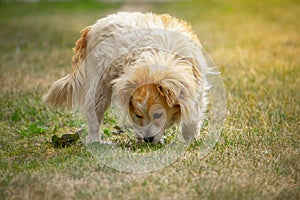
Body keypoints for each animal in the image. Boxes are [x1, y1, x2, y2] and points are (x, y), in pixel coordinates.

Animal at [43, 12, 212, 144]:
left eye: (158, 115)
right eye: (139, 115)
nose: (147, 140)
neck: (160, 59)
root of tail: (91, 28)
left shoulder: (196, 86)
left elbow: (192, 114)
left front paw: (189, 137)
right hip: (100, 90)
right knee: (94, 116)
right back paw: (96, 141)